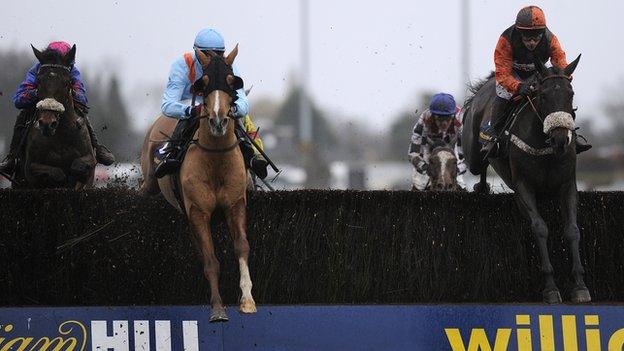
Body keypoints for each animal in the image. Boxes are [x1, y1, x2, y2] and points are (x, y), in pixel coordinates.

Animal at [17, 44, 95, 190]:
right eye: (38, 81)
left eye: (67, 82)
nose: (47, 123)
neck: (61, 136)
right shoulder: (30, 169)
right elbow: (54, 172)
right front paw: (61, 178)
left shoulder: (90, 160)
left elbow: (78, 166)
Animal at [140, 46, 258, 324]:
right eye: (203, 84)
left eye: (232, 82)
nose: (218, 121)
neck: (215, 159)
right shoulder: (198, 211)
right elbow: (210, 260)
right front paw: (217, 308)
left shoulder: (235, 204)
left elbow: (242, 246)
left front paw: (247, 300)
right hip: (150, 182)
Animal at [464, 55, 588, 306]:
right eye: (543, 95)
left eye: (570, 94)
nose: (561, 138)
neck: (546, 146)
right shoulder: (523, 187)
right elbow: (540, 228)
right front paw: (550, 288)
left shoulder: (568, 185)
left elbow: (572, 229)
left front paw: (580, 285)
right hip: (473, 153)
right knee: (478, 164)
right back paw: (481, 183)